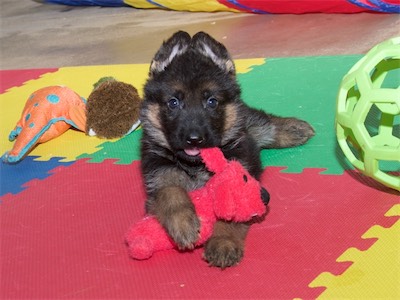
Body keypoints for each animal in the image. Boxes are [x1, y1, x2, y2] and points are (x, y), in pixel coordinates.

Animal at [139, 31, 314, 270]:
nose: (194, 139)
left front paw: (223, 242)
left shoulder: (239, 177)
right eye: (173, 102)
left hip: (249, 125)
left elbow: (231, 214)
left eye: (212, 102)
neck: (195, 166)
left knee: (264, 124)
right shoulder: (156, 180)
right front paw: (183, 224)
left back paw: (293, 128)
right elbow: (170, 192)